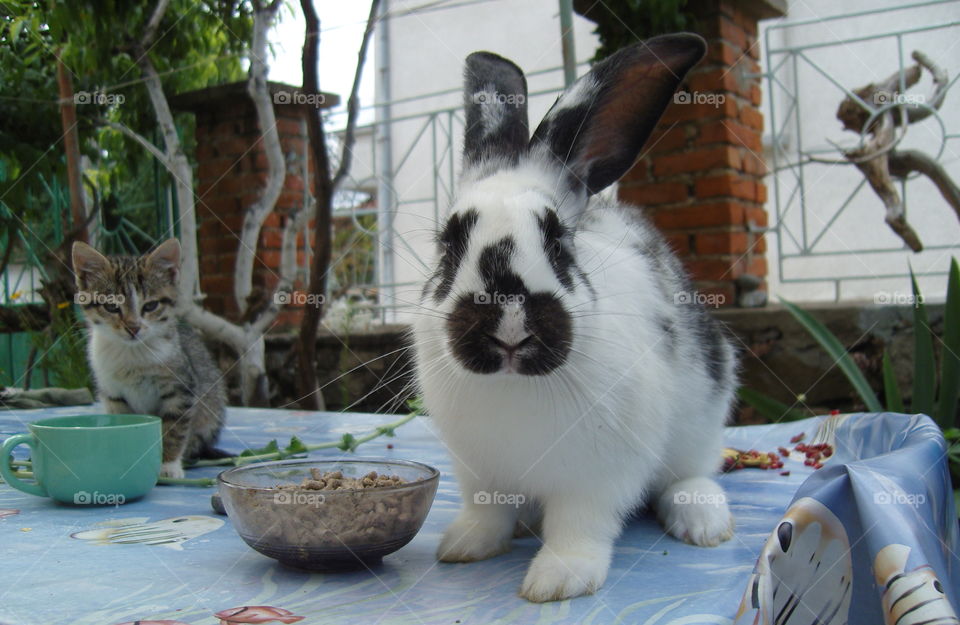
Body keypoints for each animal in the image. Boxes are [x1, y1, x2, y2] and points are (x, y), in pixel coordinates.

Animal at [72, 239, 228, 478]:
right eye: (111, 306)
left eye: (150, 306)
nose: (133, 327)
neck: (132, 352)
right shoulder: (113, 394)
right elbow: (124, 426)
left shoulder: (181, 389)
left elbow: (174, 428)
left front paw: (168, 465)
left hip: (211, 408)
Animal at [410, 33, 736, 600]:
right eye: (448, 246)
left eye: (559, 243)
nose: (509, 328)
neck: (513, 387)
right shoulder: (480, 474)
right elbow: (486, 513)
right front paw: (465, 545)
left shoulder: (597, 478)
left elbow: (579, 525)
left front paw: (558, 580)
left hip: (704, 411)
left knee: (692, 471)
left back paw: (702, 520)